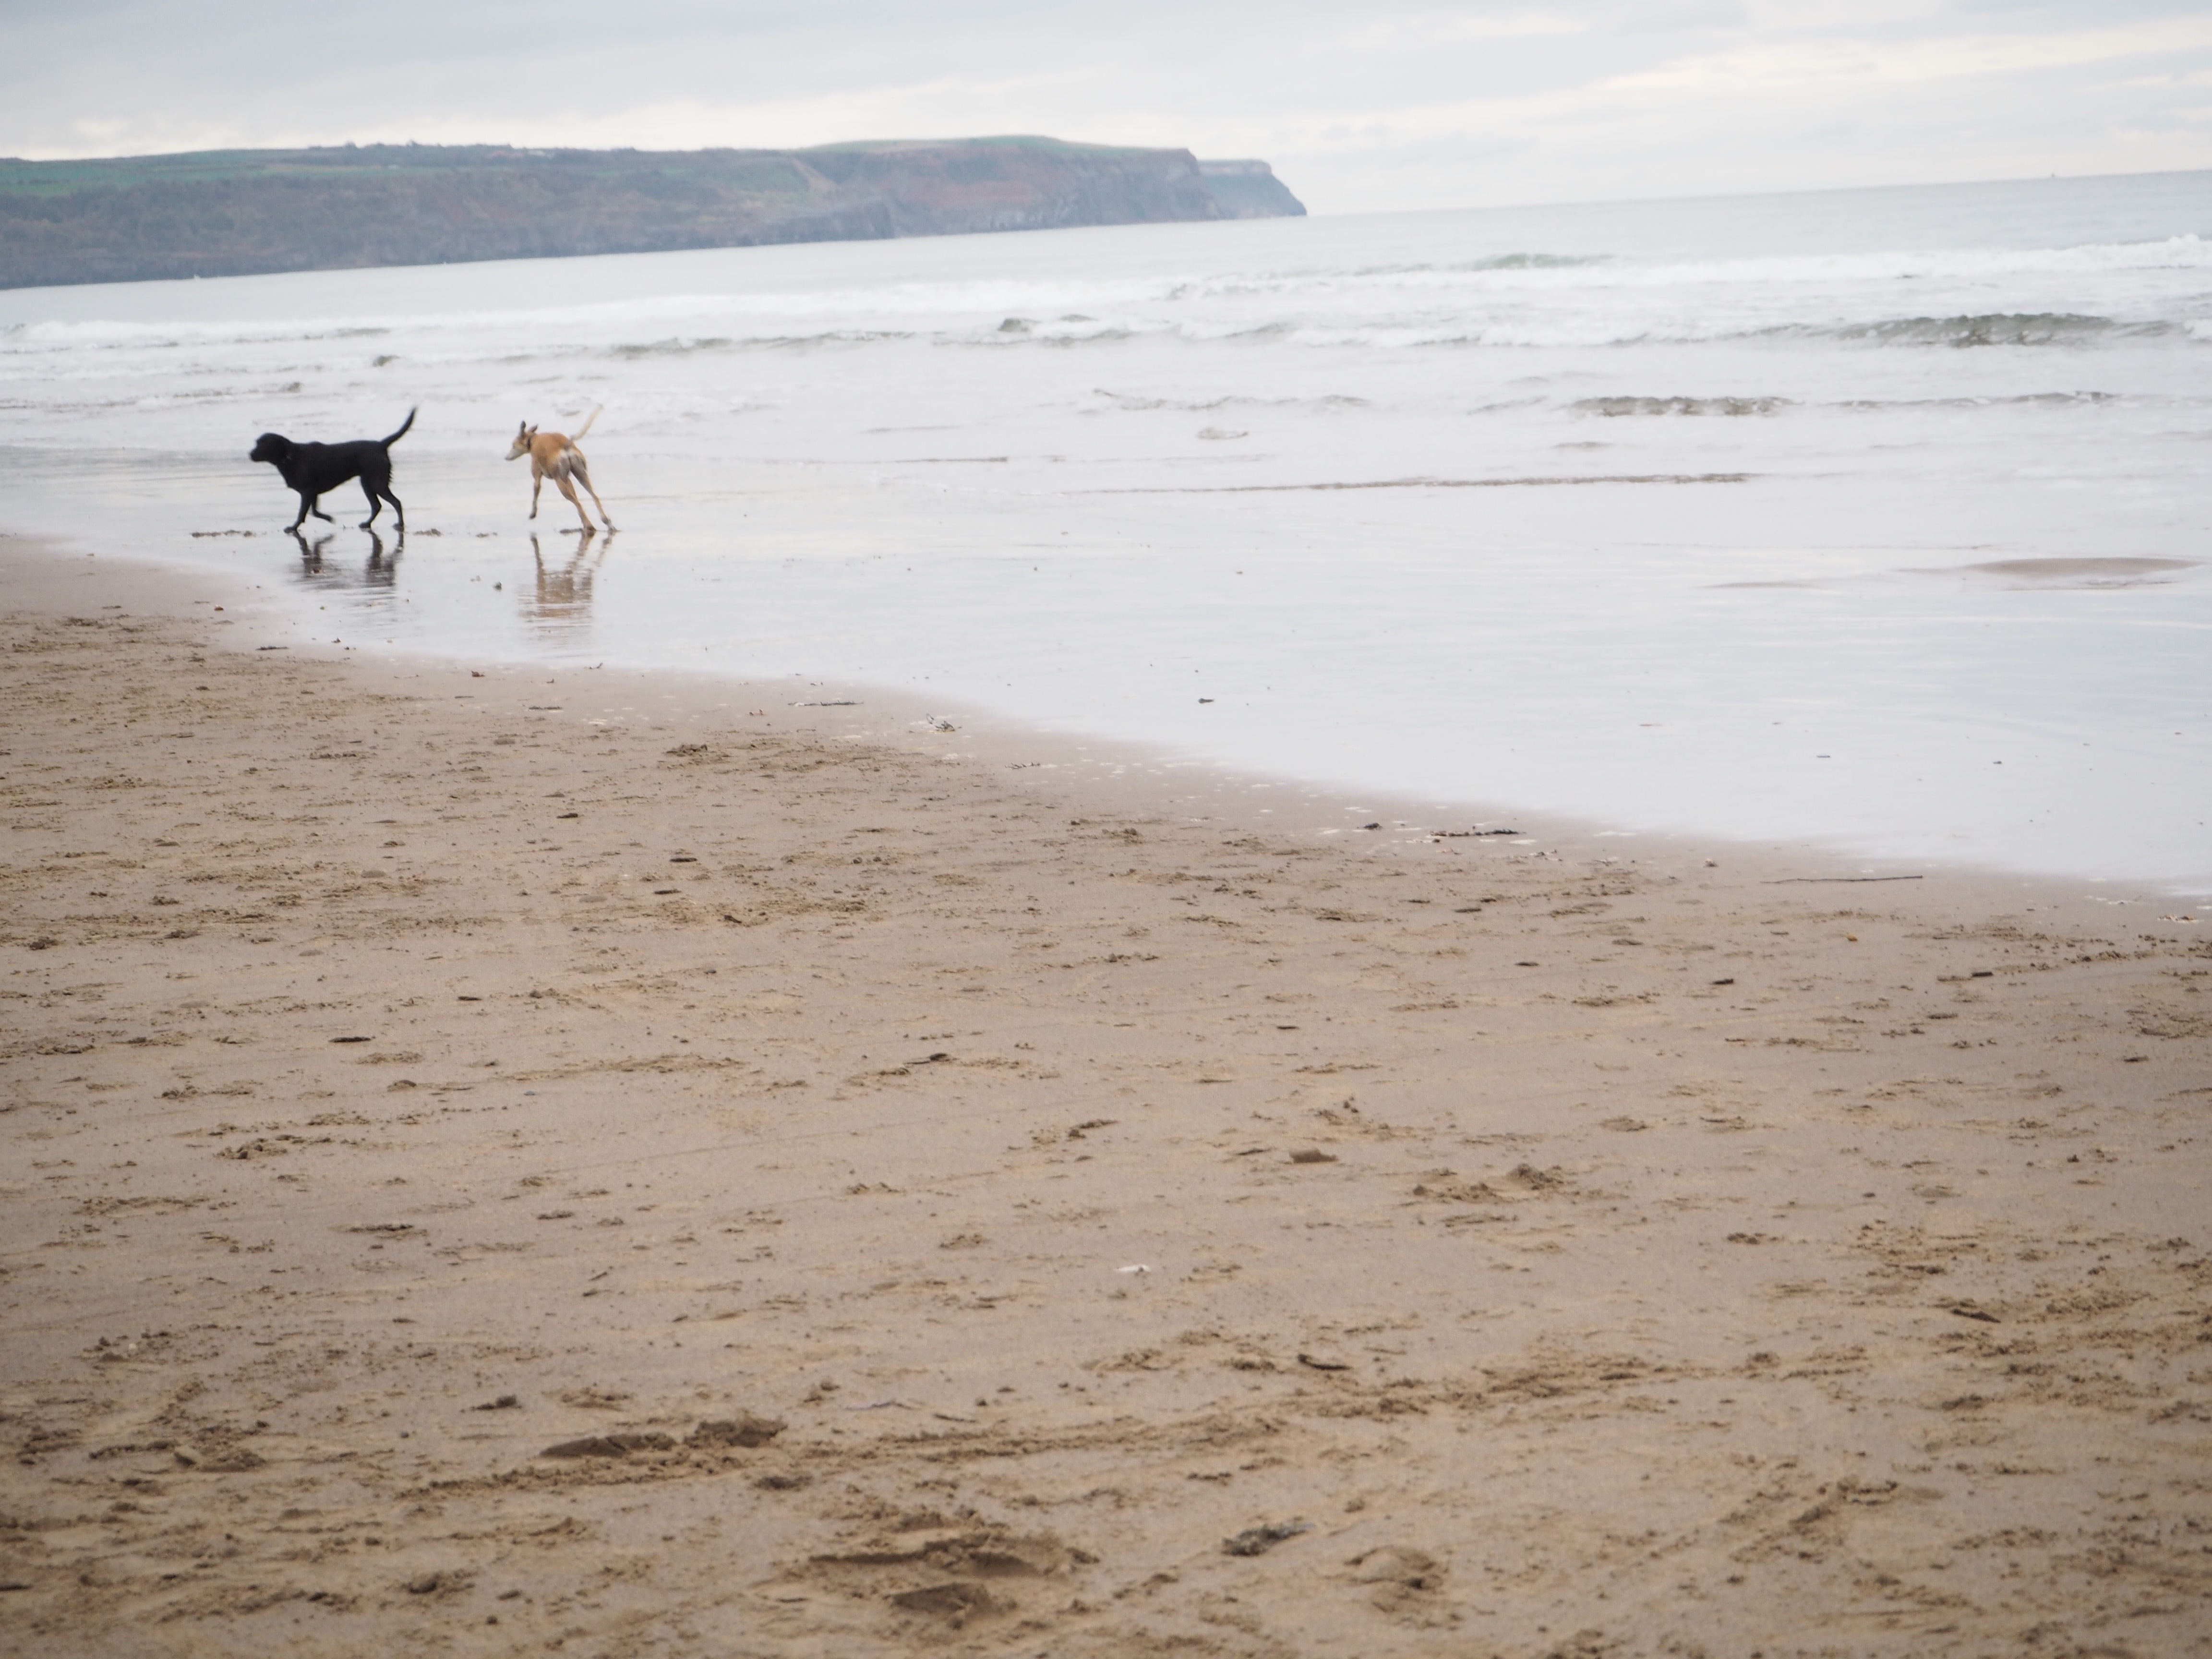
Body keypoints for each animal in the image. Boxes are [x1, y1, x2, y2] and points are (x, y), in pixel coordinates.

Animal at [249, 408, 414, 532]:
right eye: (257, 442)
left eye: (265, 444)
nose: (250, 454)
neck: (289, 457)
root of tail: (381, 445)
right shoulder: (312, 493)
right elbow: (314, 512)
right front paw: (329, 518)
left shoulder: (307, 492)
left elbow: (302, 513)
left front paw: (293, 527)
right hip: (367, 483)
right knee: (377, 506)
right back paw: (367, 524)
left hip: (377, 482)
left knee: (396, 502)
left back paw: (400, 524)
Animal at [507, 409, 614, 532]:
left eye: (513, 445)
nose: (506, 457)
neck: (533, 440)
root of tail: (564, 446)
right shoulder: (567, 479)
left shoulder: (537, 476)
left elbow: (535, 494)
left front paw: (533, 514)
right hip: (581, 475)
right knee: (593, 497)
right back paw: (607, 523)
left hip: (559, 481)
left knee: (577, 502)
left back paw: (589, 526)